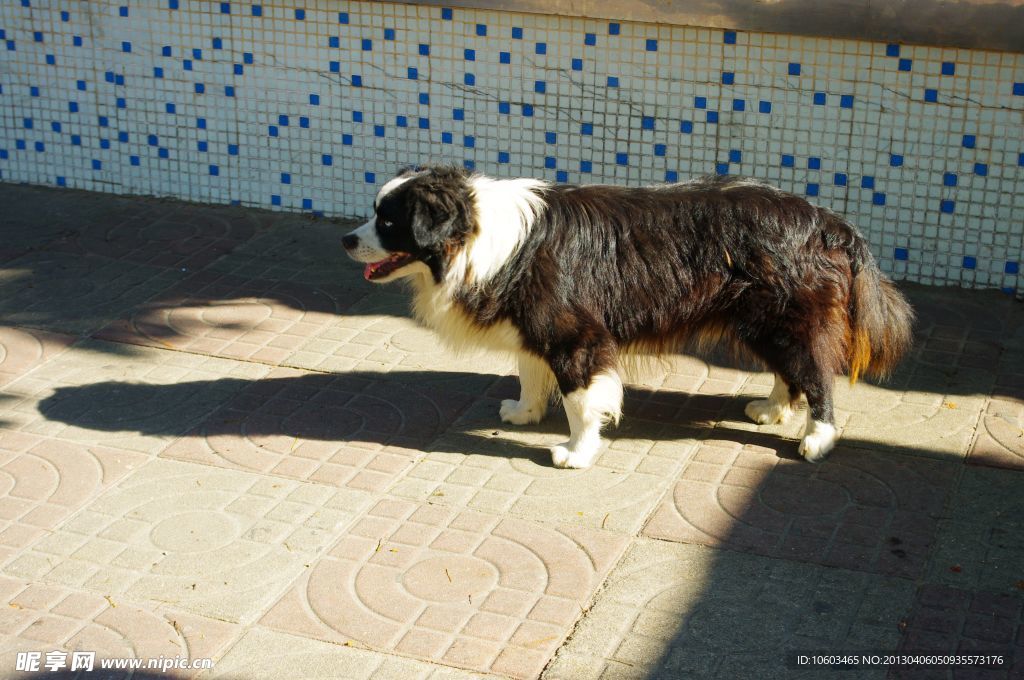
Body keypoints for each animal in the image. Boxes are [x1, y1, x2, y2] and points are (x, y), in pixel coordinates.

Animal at [344, 166, 913, 471]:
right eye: (374, 212)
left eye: (388, 221)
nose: (346, 239)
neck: (479, 235)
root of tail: (830, 221)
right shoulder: (536, 326)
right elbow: (529, 371)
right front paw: (525, 413)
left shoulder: (576, 336)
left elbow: (581, 401)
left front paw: (576, 451)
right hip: (762, 322)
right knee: (789, 370)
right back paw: (771, 408)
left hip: (786, 318)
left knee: (816, 375)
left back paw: (817, 437)